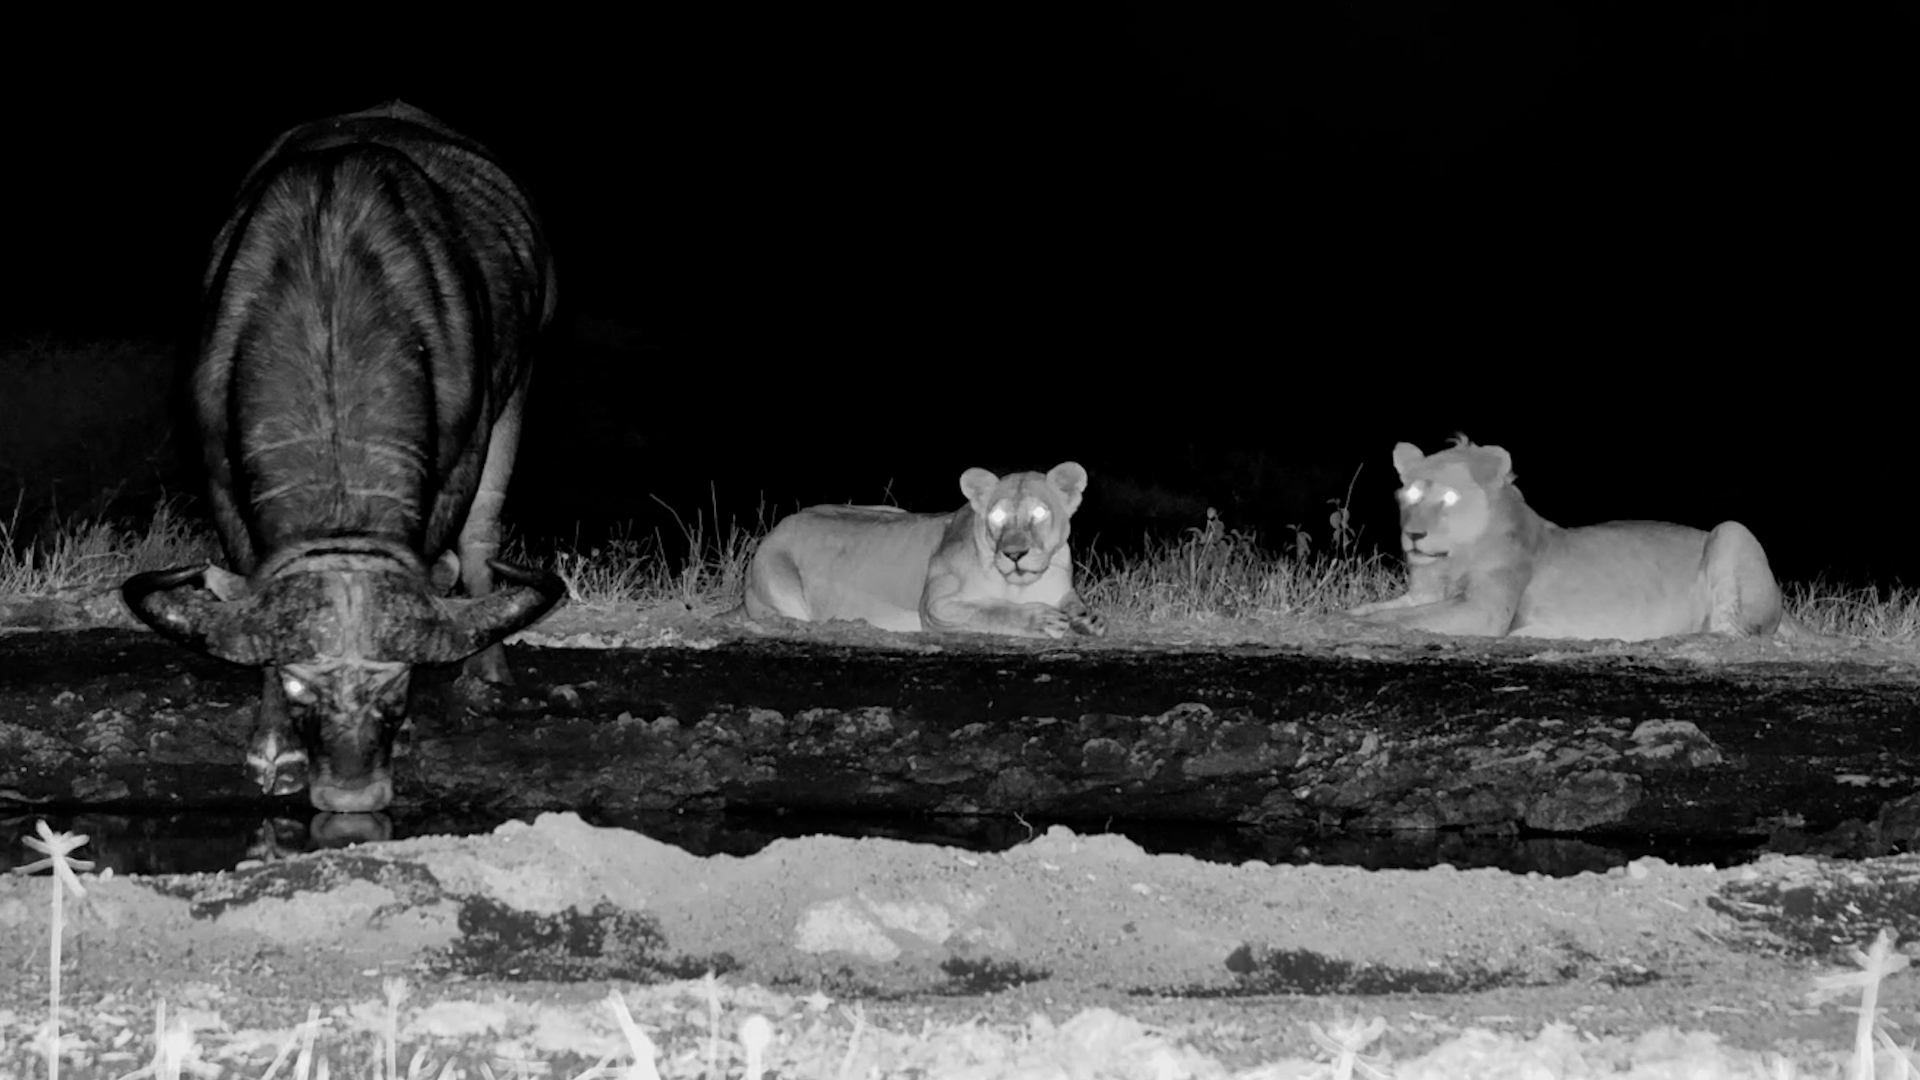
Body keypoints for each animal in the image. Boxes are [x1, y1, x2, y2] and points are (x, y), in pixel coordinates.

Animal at [742, 462, 1105, 639]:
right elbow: (990, 609)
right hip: (778, 581)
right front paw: (1040, 619)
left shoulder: (1063, 588)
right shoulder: (935, 607)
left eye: (1040, 513)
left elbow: (1073, 602)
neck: (1020, 585)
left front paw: (1087, 619)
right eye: (997, 516)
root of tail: (776, 529)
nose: (1015, 555)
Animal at [1349, 436, 1820, 641]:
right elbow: (1379, 609)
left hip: (1731, 530)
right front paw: (1347, 616)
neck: (1450, 561)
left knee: (1734, 630)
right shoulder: (1424, 593)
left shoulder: (1485, 611)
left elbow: (1401, 619)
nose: (1413, 535)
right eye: (1411, 494)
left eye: (1448, 497)